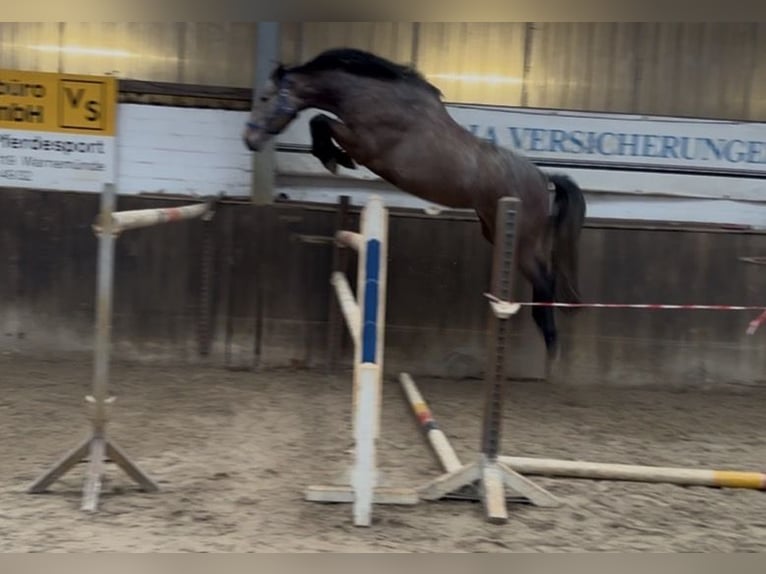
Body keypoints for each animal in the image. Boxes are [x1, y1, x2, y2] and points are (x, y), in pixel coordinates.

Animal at [243, 47, 586, 358]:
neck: (372, 96)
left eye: (264, 99)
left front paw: (331, 157)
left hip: (521, 241)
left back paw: (550, 338)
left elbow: (320, 120)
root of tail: (543, 178)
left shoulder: (366, 146)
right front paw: (333, 157)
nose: (249, 140)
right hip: (501, 232)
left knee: (545, 278)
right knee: (546, 273)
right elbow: (321, 121)